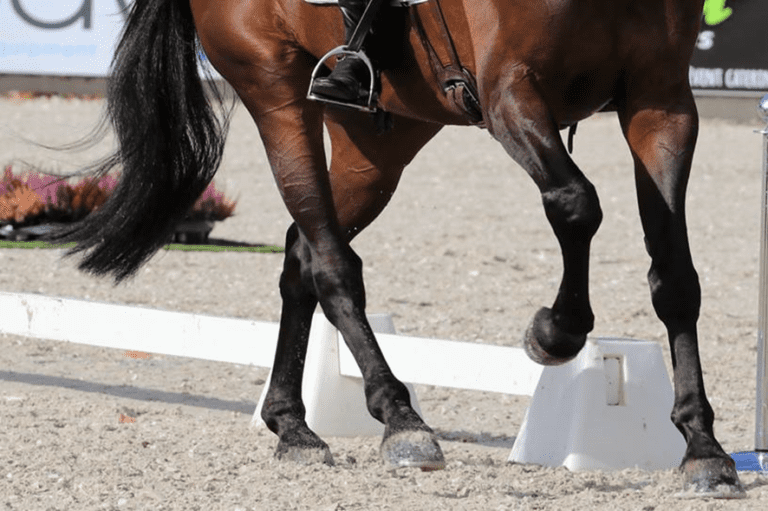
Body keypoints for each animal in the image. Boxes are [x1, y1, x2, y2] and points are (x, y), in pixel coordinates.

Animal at [53, 0, 744, 496]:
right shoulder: (509, 89)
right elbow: (576, 203)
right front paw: (554, 333)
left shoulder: (662, 100)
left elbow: (675, 276)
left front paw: (704, 449)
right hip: (275, 91)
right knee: (331, 263)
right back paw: (401, 421)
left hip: (383, 138)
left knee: (301, 254)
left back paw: (294, 425)